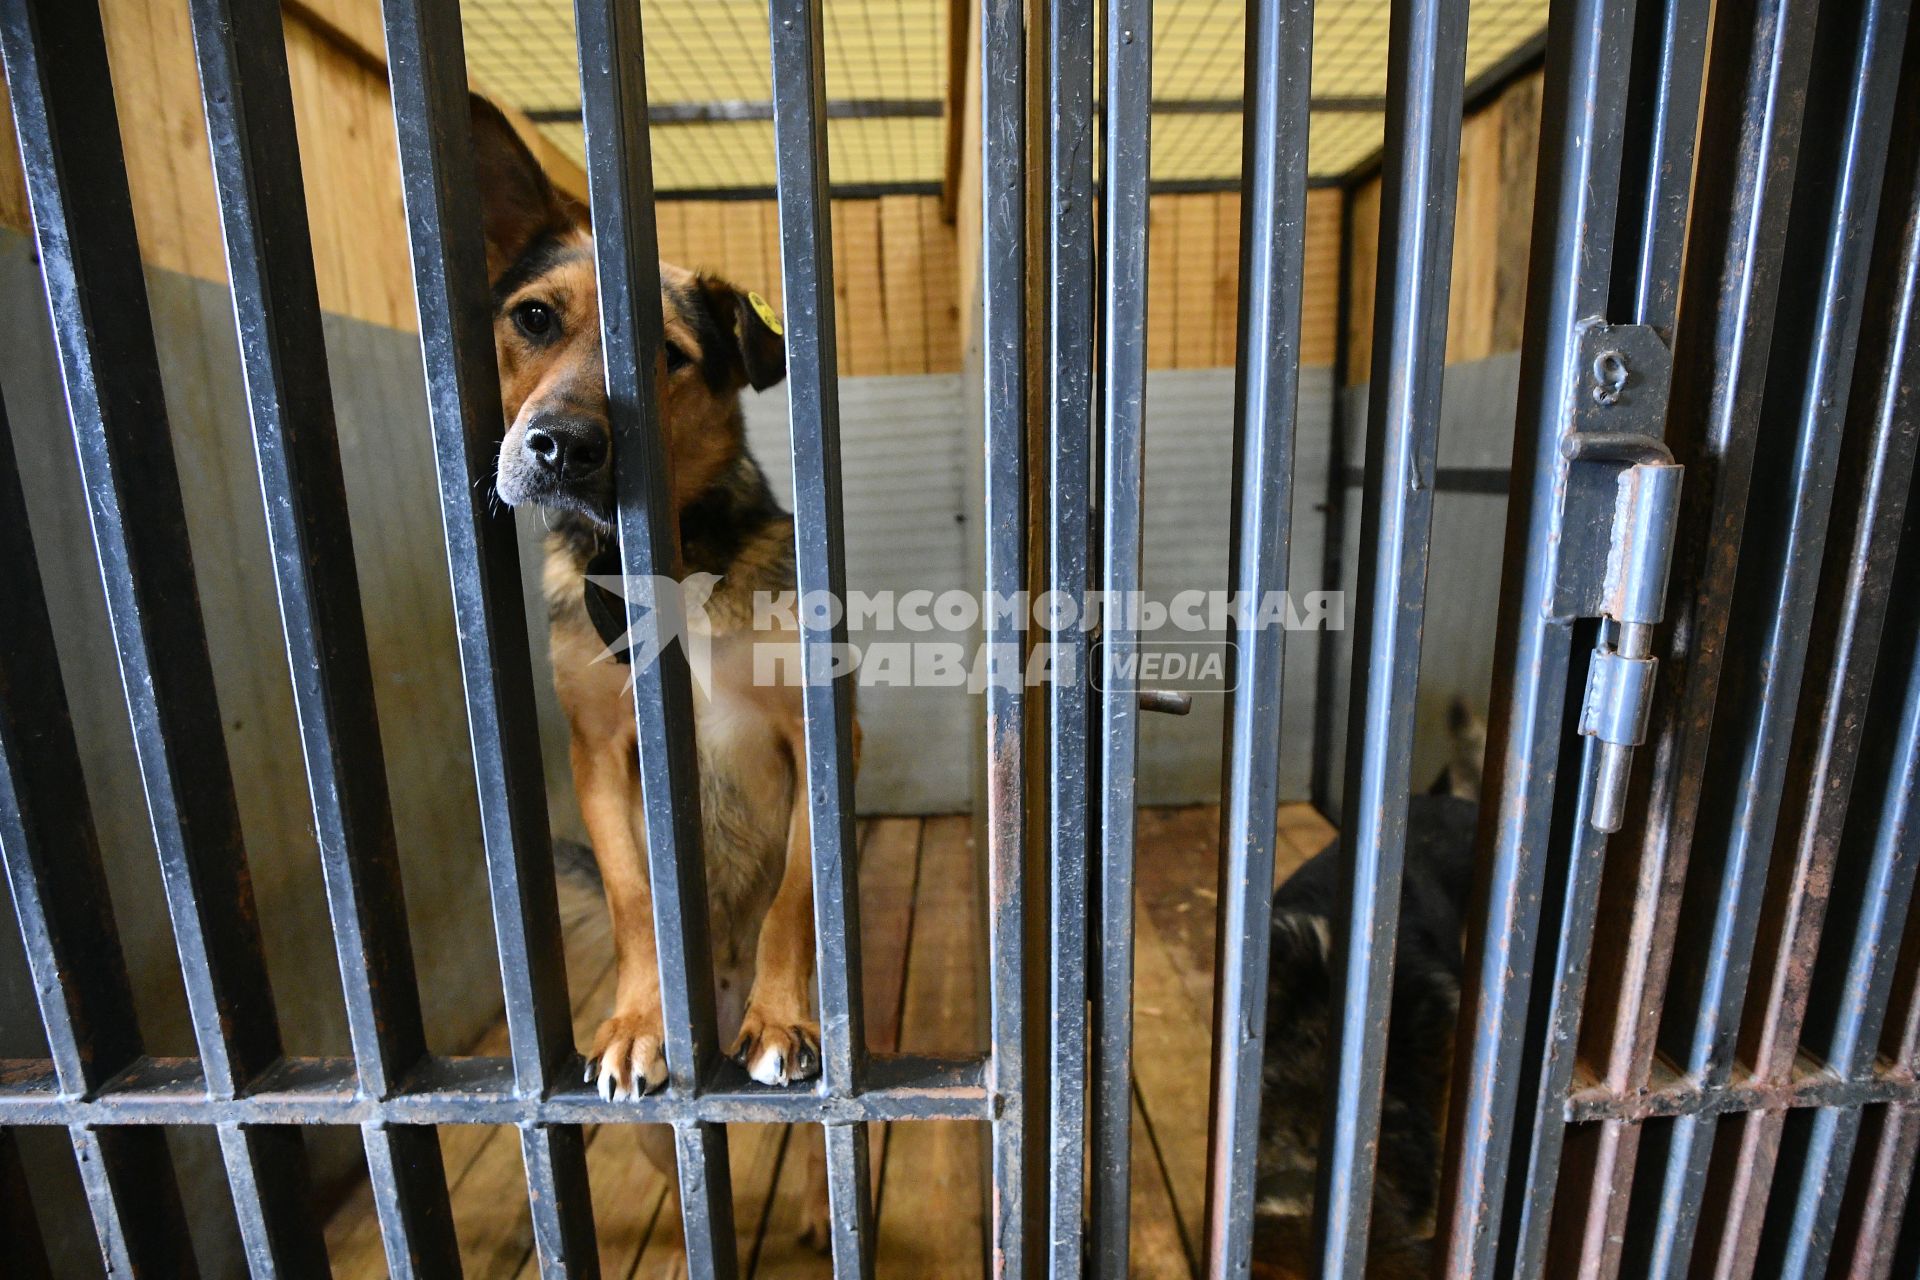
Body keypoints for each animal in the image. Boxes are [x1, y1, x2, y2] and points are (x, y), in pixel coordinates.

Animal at [468, 100, 837, 1120]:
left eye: (666, 358)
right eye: (534, 318)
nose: (561, 446)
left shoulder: (815, 736)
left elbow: (795, 896)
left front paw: (780, 1016)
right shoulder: (597, 755)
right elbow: (638, 900)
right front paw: (639, 1022)